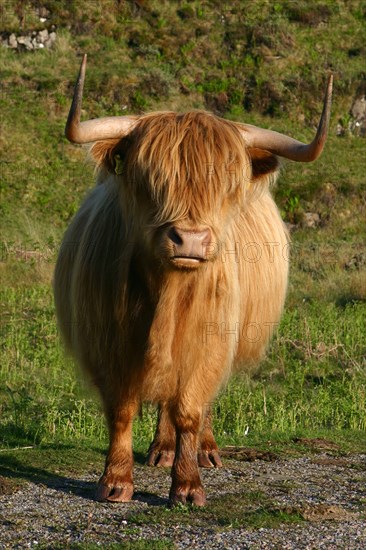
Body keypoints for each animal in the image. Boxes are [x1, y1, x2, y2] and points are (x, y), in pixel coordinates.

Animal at [53, 56, 332, 508]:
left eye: (227, 186)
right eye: (150, 179)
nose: (191, 239)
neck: (167, 296)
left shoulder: (210, 341)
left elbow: (189, 407)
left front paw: (187, 485)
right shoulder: (107, 343)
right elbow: (121, 409)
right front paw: (115, 481)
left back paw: (205, 451)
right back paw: (161, 450)